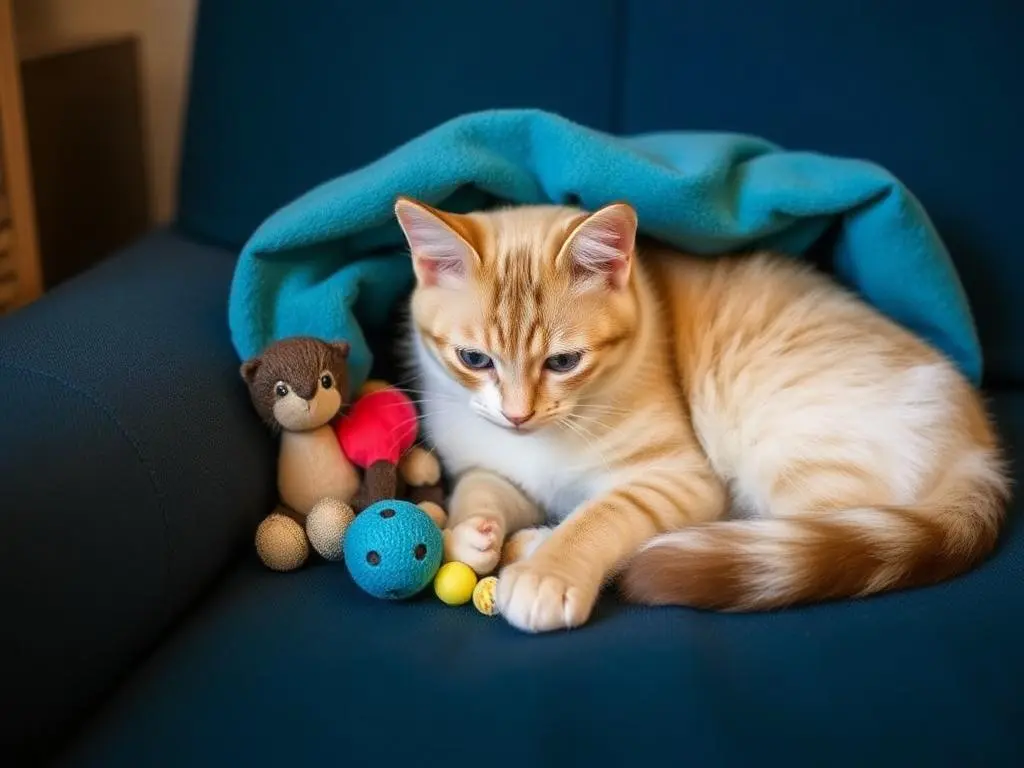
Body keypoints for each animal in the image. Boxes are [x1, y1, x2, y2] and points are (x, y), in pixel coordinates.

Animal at [391, 195, 1007, 634]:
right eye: (474, 359)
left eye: (564, 362)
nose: (519, 415)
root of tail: (979, 442)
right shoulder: (497, 464)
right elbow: (483, 485)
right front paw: (473, 533)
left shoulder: (680, 477)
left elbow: (602, 513)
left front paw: (549, 570)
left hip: (786, 442)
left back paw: (536, 546)